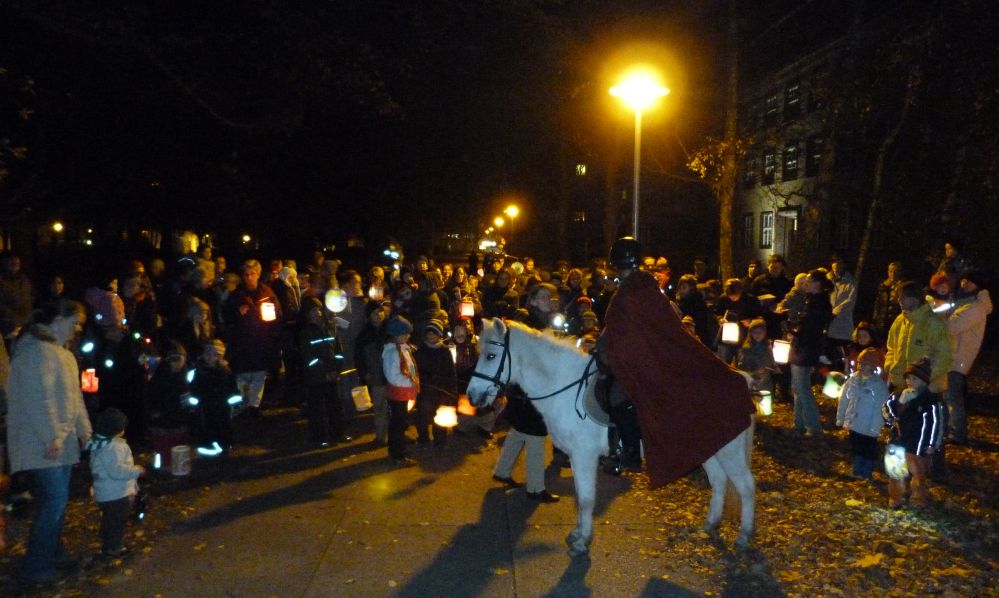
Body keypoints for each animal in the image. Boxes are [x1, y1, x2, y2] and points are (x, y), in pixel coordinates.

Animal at [468, 318, 756, 556]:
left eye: (491, 355)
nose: (472, 396)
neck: (563, 387)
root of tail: (742, 379)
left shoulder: (584, 455)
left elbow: (586, 499)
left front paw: (582, 542)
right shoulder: (576, 457)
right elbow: (580, 495)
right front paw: (578, 534)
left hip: (729, 450)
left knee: (746, 486)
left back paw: (744, 537)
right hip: (709, 448)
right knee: (719, 481)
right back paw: (710, 524)